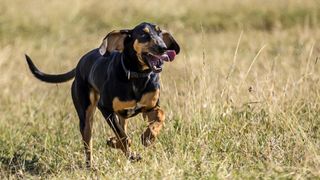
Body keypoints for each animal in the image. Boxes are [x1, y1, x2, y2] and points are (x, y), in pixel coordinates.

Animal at [25, 22, 180, 167]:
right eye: (143, 34)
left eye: (159, 33)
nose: (163, 47)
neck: (137, 76)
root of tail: (80, 63)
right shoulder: (105, 108)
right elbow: (123, 137)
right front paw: (129, 150)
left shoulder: (150, 108)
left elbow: (160, 116)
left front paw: (148, 137)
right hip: (86, 117)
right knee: (89, 143)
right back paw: (91, 165)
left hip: (121, 115)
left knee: (122, 128)